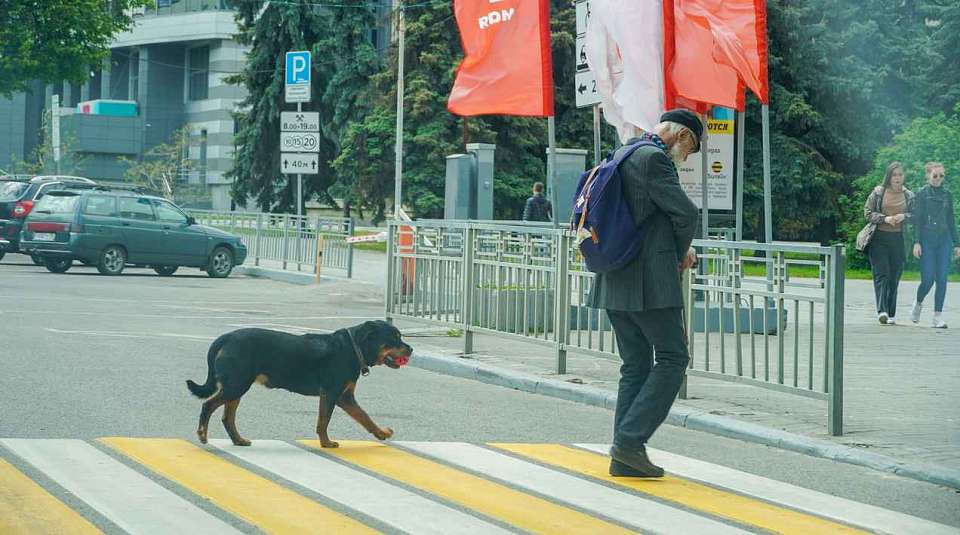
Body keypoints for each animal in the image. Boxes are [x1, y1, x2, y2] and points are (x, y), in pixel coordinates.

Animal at [188, 318, 412, 448]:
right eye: (394, 338)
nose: (410, 349)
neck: (353, 347)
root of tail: (224, 338)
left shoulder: (345, 398)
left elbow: (365, 417)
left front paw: (381, 433)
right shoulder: (331, 394)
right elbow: (324, 421)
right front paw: (326, 443)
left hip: (237, 386)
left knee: (228, 417)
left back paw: (238, 440)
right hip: (236, 384)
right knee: (208, 405)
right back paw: (202, 434)